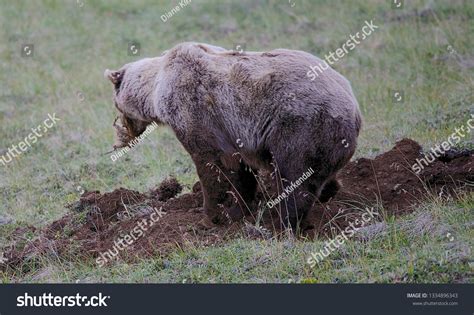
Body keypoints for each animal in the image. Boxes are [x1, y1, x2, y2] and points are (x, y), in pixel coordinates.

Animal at [105, 42, 362, 230]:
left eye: (117, 106)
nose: (119, 138)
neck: (156, 87)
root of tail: (354, 109)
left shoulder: (196, 109)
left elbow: (213, 163)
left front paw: (212, 215)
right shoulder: (236, 134)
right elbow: (242, 169)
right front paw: (237, 210)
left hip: (303, 126)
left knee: (295, 175)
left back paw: (285, 223)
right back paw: (328, 194)